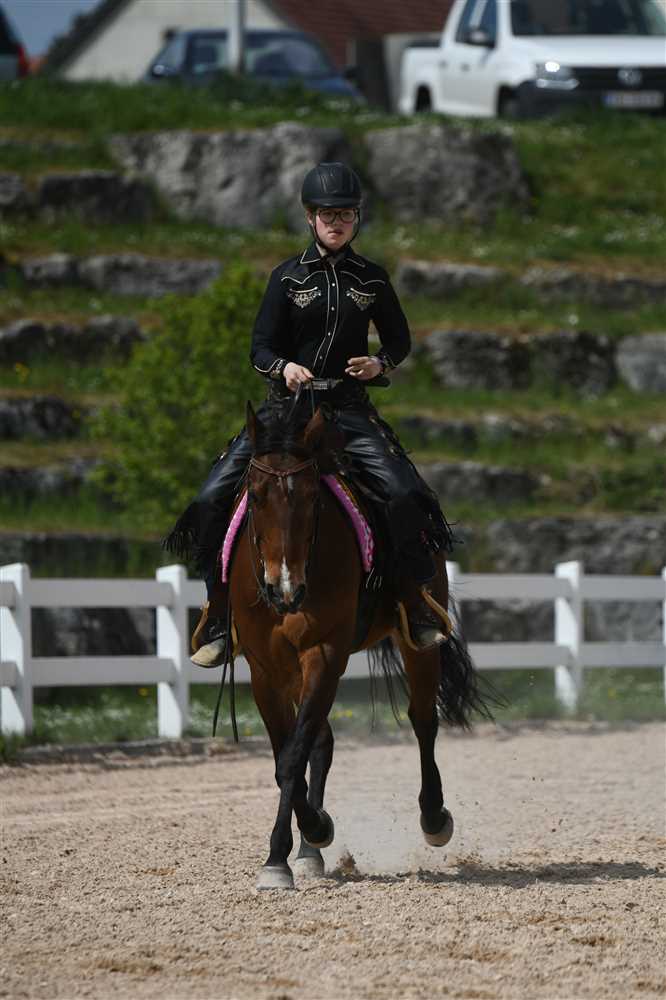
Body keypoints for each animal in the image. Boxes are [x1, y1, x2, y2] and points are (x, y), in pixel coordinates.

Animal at [226, 397, 492, 890]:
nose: (284, 587)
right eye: (254, 494)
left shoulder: (324, 654)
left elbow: (291, 757)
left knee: (422, 720)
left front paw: (293, 845)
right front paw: (290, 850)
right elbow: (285, 756)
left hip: (417, 643)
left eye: (313, 497)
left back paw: (433, 818)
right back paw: (310, 852)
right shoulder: (264, 669)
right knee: (322, 740)